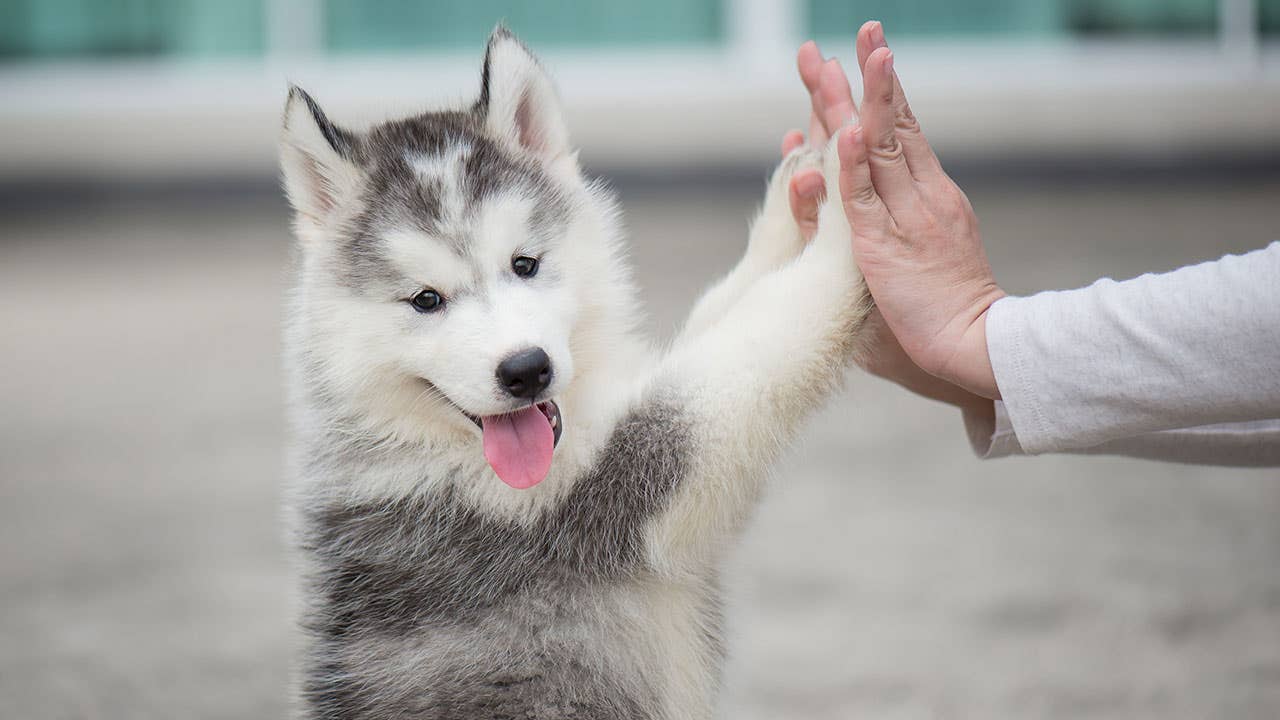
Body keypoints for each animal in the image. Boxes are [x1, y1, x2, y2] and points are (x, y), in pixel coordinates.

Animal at [282, 26, 870, 717]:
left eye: (525, 264)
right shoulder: (615, 486)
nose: (526, 370)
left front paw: (796, 199)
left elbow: (728, 309)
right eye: (426, 300)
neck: (429, 447)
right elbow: (760, 336)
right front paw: (856, 207)